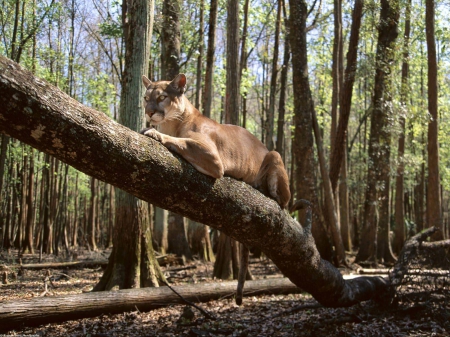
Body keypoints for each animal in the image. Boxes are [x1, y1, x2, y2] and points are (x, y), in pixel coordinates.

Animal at [139, 74, 290, 304]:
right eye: (146, 98)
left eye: (162, 97)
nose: (148, 112)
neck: (172, 123)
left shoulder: (213, 157)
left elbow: (180, 140)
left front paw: (154, 133)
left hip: (275, 154)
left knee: (284, 201)